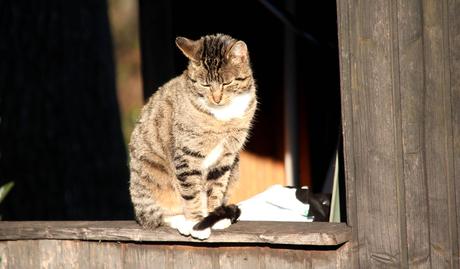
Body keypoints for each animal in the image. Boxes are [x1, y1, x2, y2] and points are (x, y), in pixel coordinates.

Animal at [129, 34, 256, 239]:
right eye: (205, 85)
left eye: (227, 83)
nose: (216, 99)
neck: (222, 117)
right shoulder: (187, 154)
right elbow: (191, 192)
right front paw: (196, 222)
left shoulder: (226, 156)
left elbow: (216, 188)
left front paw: (214, 216)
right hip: (151, 172)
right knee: (159, 214)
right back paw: (182, 221)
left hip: (235, 167)